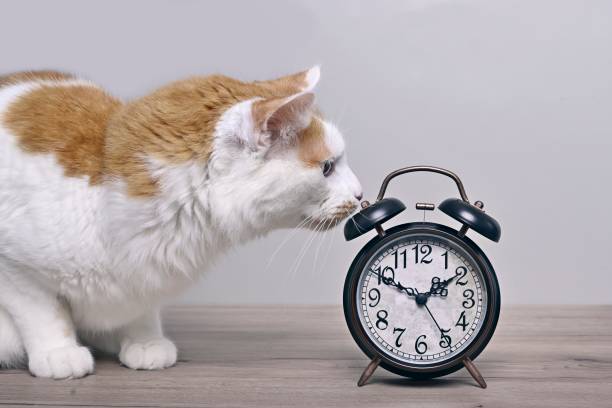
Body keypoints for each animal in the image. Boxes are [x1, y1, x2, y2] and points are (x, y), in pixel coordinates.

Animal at [0, 67, 360, 380]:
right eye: (327, 168)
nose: (360, 194)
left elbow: (142, 308)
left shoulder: (146, 275)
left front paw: (145, 341)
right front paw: (58, 352)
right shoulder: (16, 269)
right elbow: (43, 312)